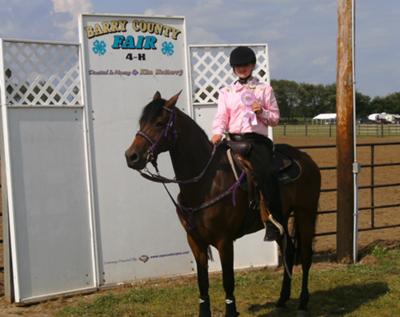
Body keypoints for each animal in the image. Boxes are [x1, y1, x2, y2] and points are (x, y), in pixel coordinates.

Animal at [125, 91, 322, 316]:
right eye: (142, 122)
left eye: (159, 123)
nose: (131, 156)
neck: (205, 182)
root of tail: (306, 159)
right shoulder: (195, 241)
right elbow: (203, 283)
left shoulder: (224, 241)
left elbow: (228, 281)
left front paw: (231, 310)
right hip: (281, 218)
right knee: (288, 250)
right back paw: (282, 298)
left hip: (306, 213)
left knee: (305, 255)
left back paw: (303, 303)